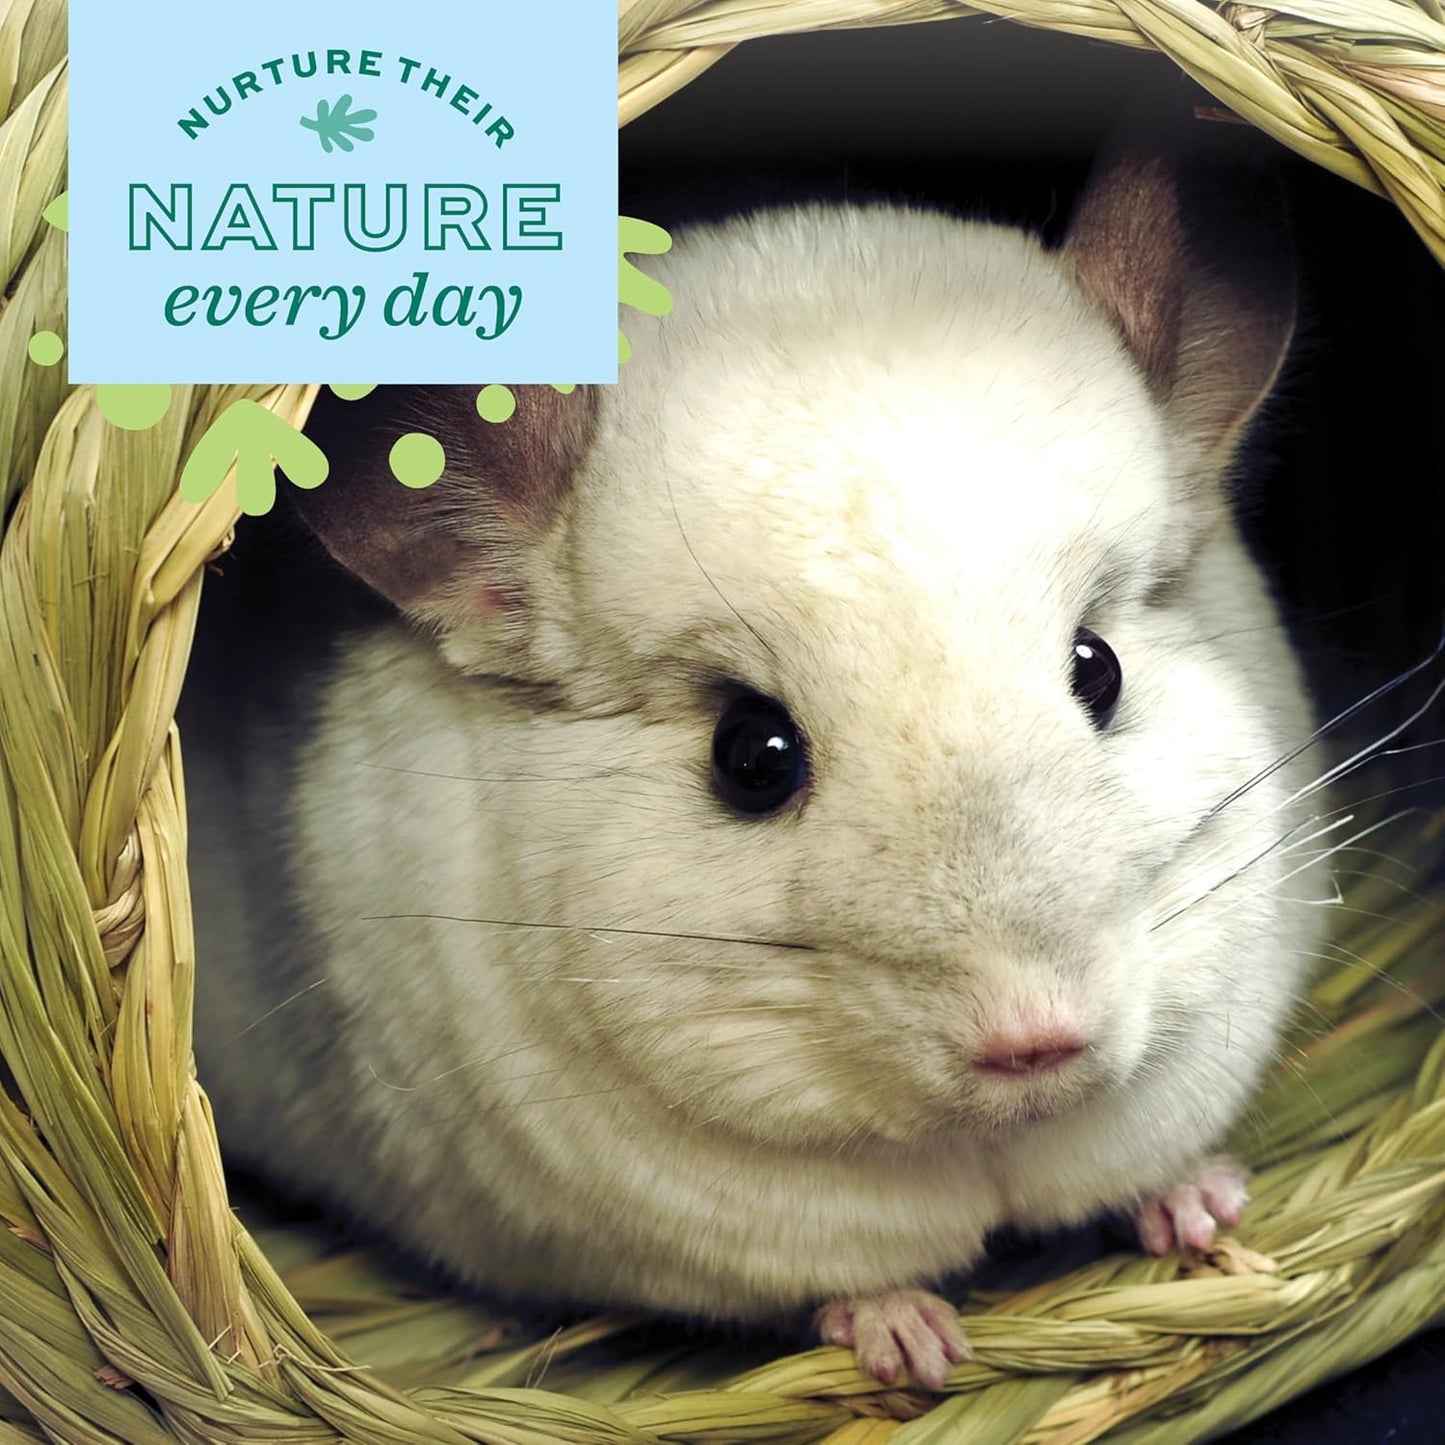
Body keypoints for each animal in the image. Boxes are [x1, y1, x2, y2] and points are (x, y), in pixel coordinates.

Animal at [184, 141, 1327, 1391]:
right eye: (751, 754)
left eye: (1097, 666)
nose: (1031, 1037)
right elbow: (833, 1289)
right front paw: (910, 1342)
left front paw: (1203, 1205)